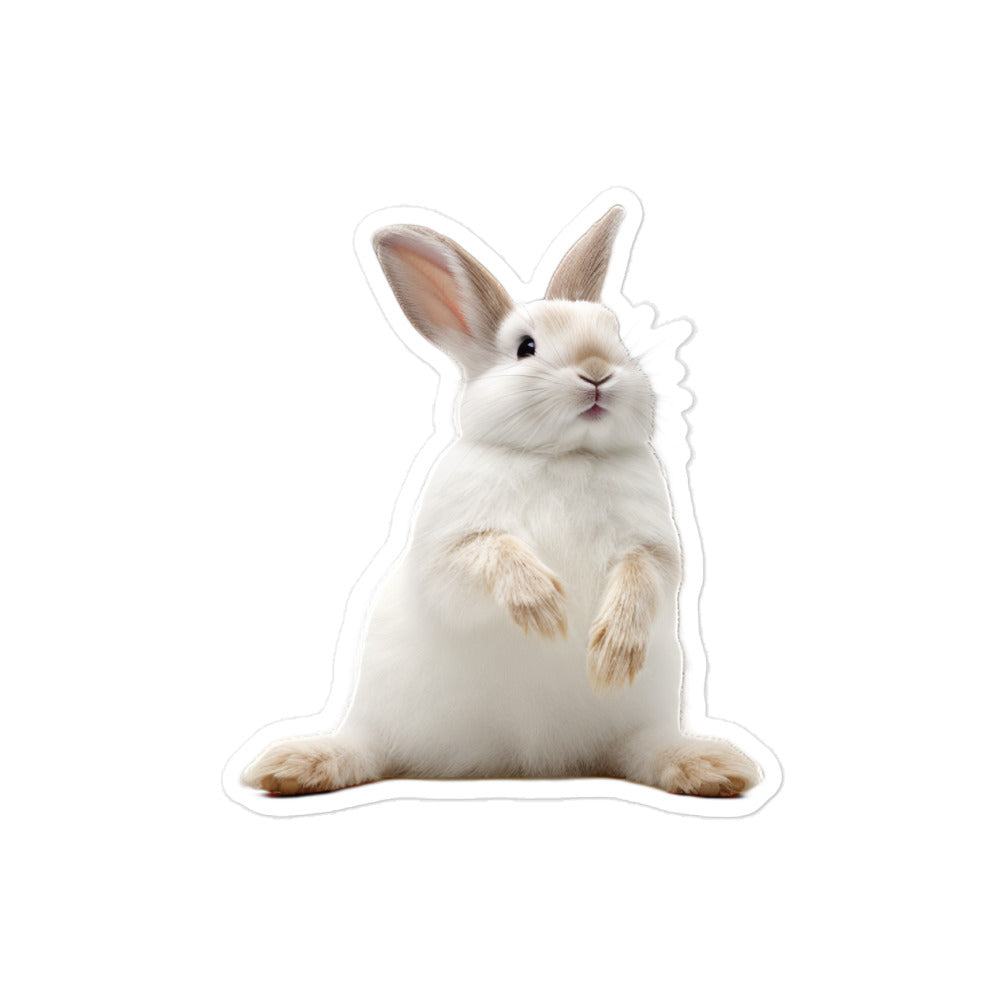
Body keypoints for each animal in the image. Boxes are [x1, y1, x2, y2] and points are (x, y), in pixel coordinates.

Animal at [242, 205, 761, 799]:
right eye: (525, 347)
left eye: (616, 336)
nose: (597, 370)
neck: (564, 457)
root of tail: (525, 761)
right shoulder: (452, 547)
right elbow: (487, 558)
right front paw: (547, 609)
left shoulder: (652, 548)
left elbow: (643, 577)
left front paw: (611, 650)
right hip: (388, 722)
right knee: (370, 749)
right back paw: (294, 767)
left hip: (635, 721)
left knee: (639, 749)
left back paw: (712, 767)